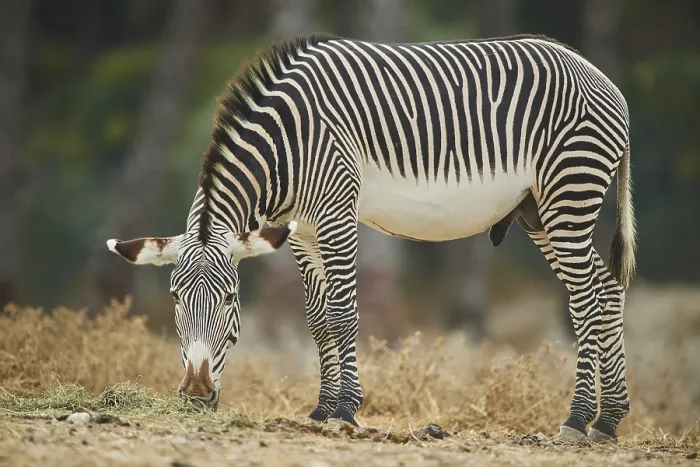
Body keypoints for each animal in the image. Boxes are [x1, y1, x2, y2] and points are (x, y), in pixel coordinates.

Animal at [106, 34, 636, 444]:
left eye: (231, 298)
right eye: (175, 298)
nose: (196, 396)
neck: (287, 144)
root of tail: (604, 79)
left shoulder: (336, 212)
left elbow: (343, 313)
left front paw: (345, 410)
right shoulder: (300, 231)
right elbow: (318, 320)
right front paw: (321, 410)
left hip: (570, 190)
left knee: (587, 300)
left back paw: (576, 420)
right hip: (538, 211)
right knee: (607, 289)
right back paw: (608, 421)